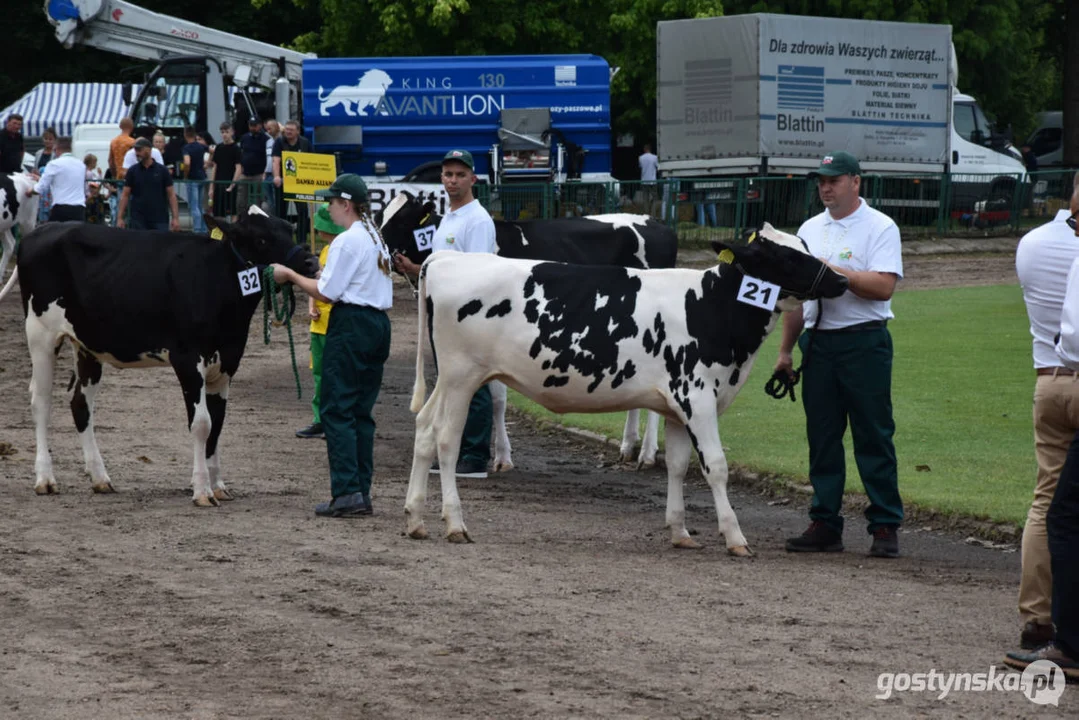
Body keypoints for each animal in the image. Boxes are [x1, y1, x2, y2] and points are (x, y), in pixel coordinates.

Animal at [5, 208, 319, 507]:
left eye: (289, 228)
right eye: (261, 238)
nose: (311, 263)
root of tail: (42, 229)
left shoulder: (227, 363)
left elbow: (217, 424)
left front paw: (218, 485)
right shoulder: (188, 359)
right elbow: (202, 424)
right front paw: (202, 490)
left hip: (86, 346)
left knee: (80, 404)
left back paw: (100, 478)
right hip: (41, 334)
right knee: (41, 402)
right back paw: (45, 478)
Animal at [379, 194, 677, 470]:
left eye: (402, 221)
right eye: (381, 216)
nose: (381, 256)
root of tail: (654, 221)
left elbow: (497, 399)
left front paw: (501, 457)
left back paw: (647, 453)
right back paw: (628, 445)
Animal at [405, 225, 850, 557]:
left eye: (804, 247)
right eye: (787, 257)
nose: (843, 280)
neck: (710, 306)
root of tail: (447, 258)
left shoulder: (677, 407)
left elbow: (677, 466)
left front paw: (680, 532)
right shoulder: (697, 396)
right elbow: (716, 466)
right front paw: (735, 537)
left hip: (448, 380)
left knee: (424, 429)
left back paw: (415, 519)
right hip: (461, 377)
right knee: (446, 439)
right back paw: (455, 524)